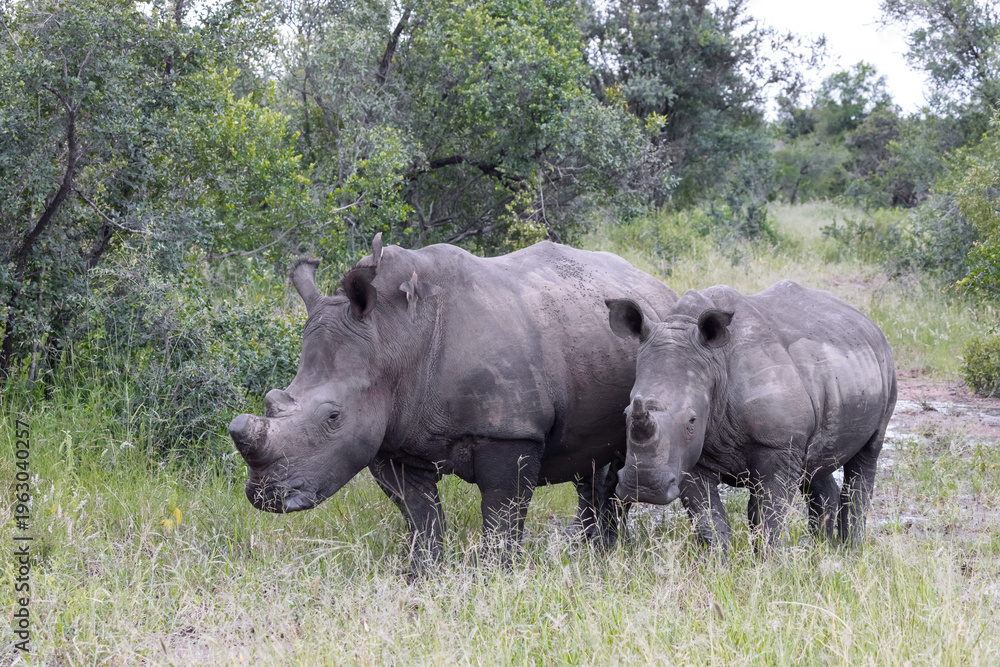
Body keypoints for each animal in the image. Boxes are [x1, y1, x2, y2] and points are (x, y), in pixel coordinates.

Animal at [229, 236, 677, 568]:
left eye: (334, 417)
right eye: (272, 400)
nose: (266, 496)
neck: (391, 336)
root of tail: (656, 284)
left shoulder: (509, 430)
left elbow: (501, 511)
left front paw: (498, 576)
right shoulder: (392, 436)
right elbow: (419, 515)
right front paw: (424, 575)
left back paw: (605, 554)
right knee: (592, 460)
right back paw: (590, 552)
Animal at [607, 280, 897, 550]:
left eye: (692, 420)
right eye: (626, 412)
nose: (644, 486)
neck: (716, 363)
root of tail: (868, 321)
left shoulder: (778, 444)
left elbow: (769, 514)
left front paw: (771, 565)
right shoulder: (687, 457)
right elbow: (708, 519)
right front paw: (717, 566)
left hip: (885, 367)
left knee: (867, 456)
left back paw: (851, 552)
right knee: (818, 461)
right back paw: (819, 551)